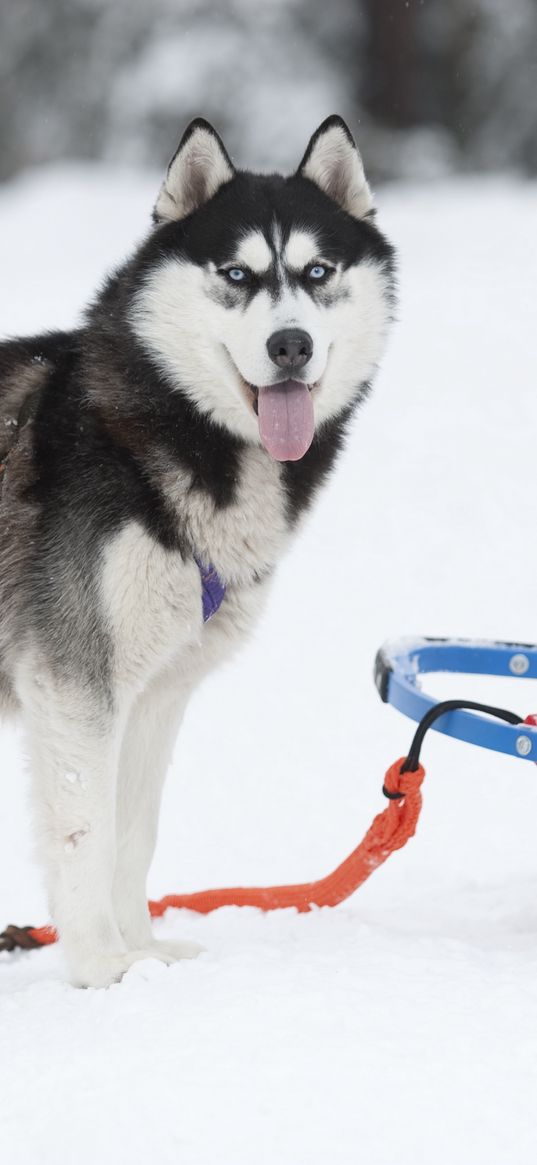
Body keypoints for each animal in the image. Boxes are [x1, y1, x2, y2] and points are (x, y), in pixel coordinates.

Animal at [0, 115, 393, 983]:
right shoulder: (76, 681)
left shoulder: (155, 692)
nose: (290, 345)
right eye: (236, 274)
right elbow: (85, 830)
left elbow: (132, 833)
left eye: (317, 271)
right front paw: (101, 965)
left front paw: (143, 950)